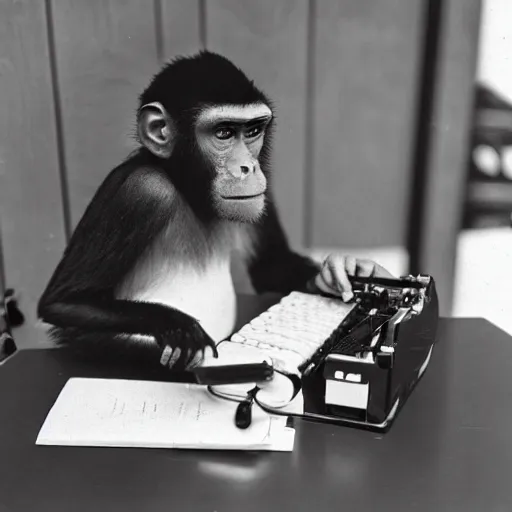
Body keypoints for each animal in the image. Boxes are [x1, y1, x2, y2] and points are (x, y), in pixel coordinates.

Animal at [38, 51, 394, 372]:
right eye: (223, 132)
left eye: (252, 131)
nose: (248, 167)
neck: (187, 189)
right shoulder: (138, 192)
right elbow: (65, 302)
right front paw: (179, 326)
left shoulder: (263, 194)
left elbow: (269, 265)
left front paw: (345, 270)